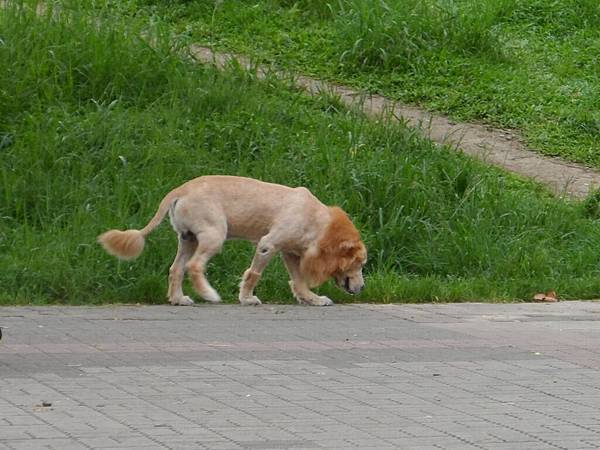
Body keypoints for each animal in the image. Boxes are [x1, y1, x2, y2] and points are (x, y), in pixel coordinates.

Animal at [98, 175, 366, 306]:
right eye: (360, 264)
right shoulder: (268, 245)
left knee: (176, 269)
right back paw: (209, 294)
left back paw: (178, 299)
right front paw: (246, 298)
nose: (363, 287)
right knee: (194, 266)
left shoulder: (289, 252)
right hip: (214, 235)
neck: (317, 220)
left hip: (188, 239)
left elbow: (299, 282)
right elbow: (254, 274)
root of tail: (180, 190)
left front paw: (313, 299)